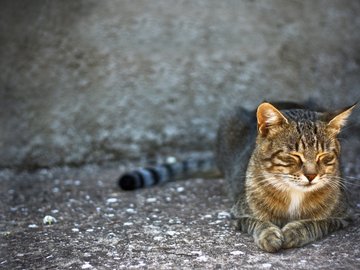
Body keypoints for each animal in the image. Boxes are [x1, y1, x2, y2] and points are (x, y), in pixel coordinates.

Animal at [215, 102, 356, 253]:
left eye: (323, 155)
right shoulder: (237, 215)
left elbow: (316, 223)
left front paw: (295, 231)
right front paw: (269, 234)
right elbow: (258, 222)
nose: (311, 175)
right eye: (294, 155)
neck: (295, 193)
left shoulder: (344, 216)